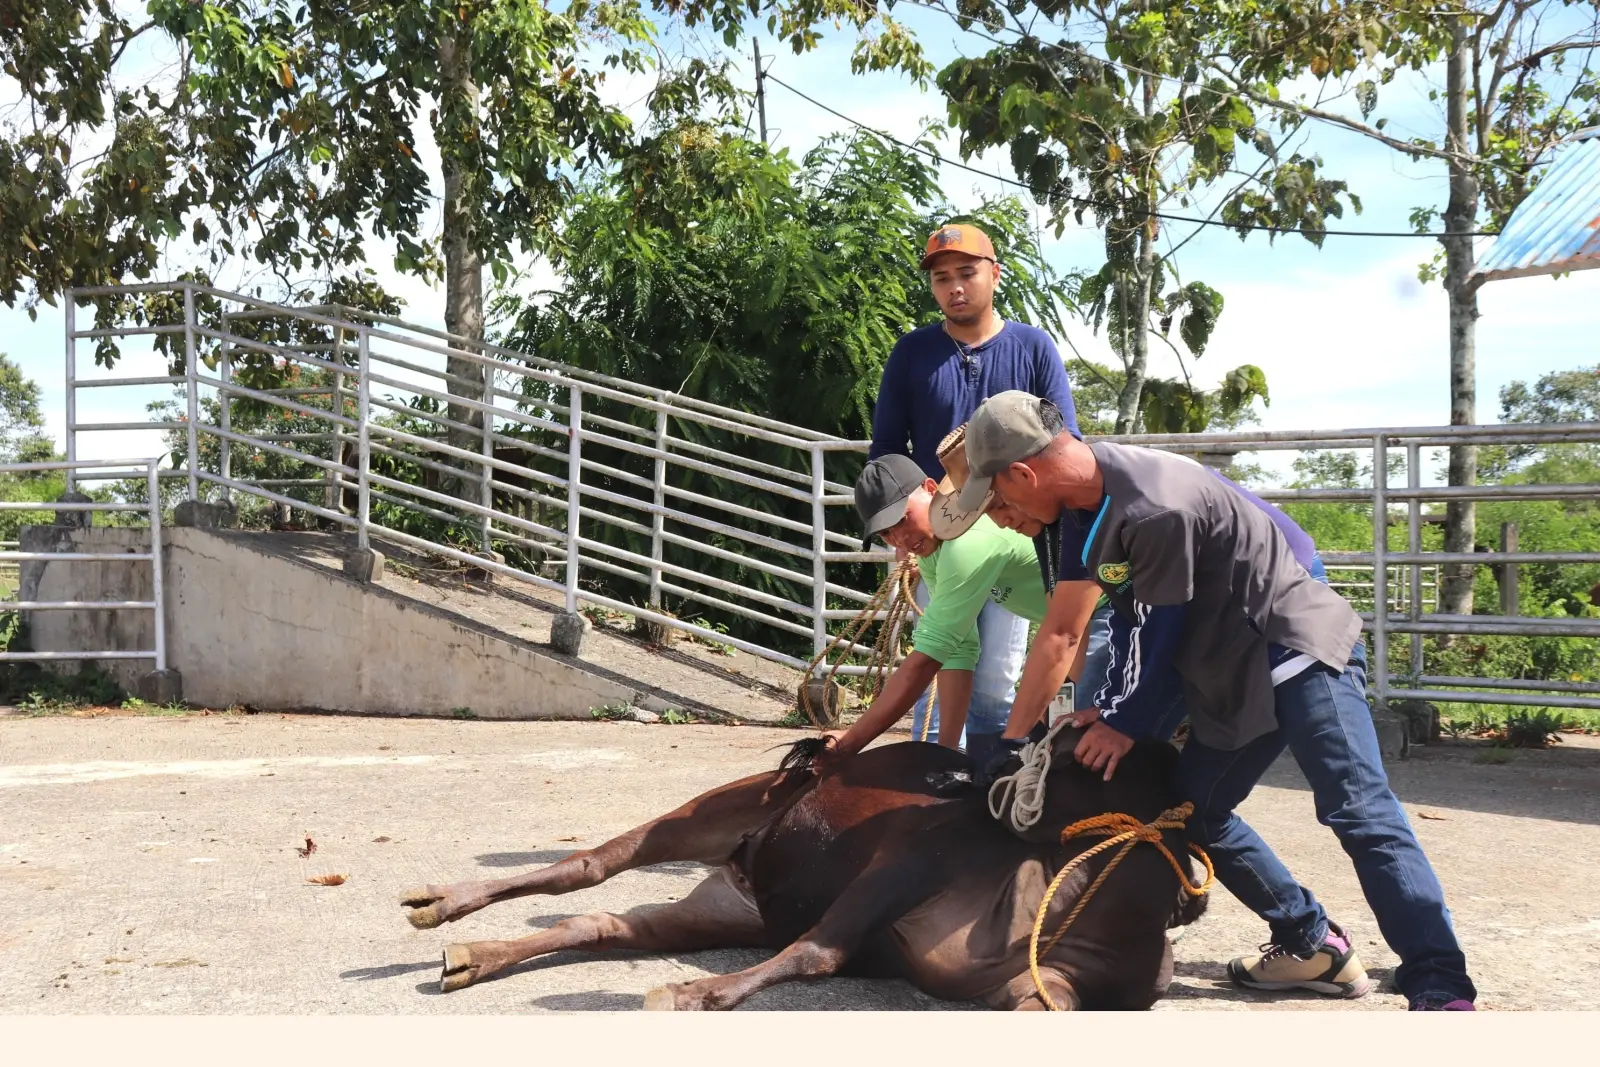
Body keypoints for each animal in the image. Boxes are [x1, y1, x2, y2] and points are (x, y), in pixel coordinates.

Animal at [398, 726, 1209, 1011]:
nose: (972, 784)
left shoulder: (1038, 992)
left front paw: (693, 990)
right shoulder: (904, 861)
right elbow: (822, 948)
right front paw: (692, 994)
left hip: (729, 907)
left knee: (601, 919)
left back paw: (469, 952)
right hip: (718, 808)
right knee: (591, 862)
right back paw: (441, 901)